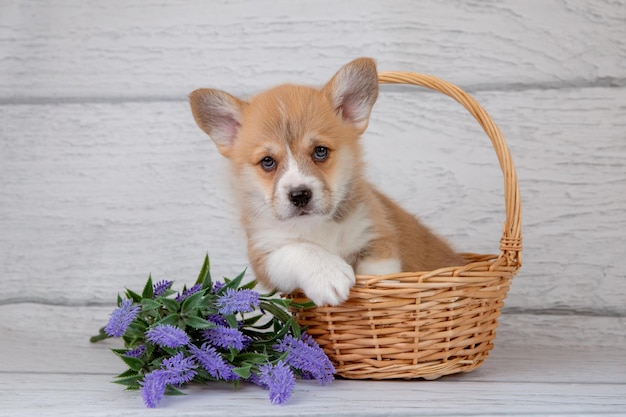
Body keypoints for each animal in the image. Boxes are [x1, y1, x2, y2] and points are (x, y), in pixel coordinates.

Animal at [188, 57, 460, 304]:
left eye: (320, 151)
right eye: (267, 161)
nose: (299, 195)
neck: (316, 226)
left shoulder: (377, 237)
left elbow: (379, 276)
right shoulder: (265, 255)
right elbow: (299, 249)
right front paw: (329, 276)